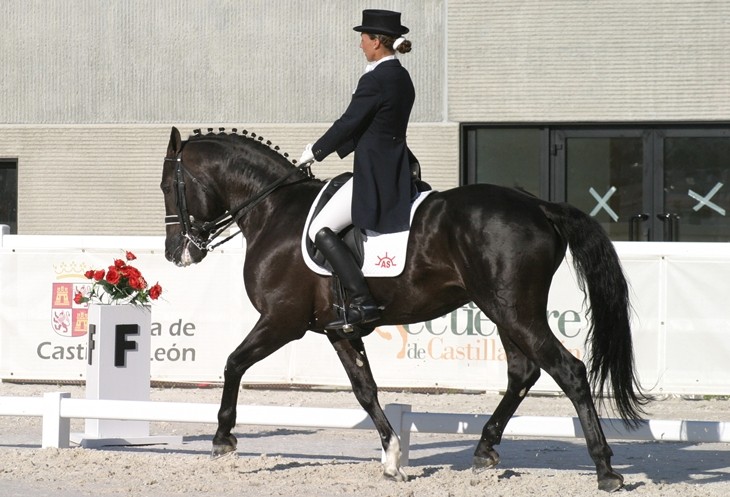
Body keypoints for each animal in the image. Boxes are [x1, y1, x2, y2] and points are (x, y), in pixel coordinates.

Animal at [160, 126, 648, 492]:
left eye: (168, 186)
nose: (175, 253)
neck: (273, 209)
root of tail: (537, 205)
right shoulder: (339, 330)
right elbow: (365, 390)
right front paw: (392, 458)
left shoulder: (282, 320)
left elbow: (233, 363)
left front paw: (222, 439)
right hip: (503, 310)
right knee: (523, 372)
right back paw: (485, 450)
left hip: (513, 309)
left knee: (568, 370)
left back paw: (605, 470)